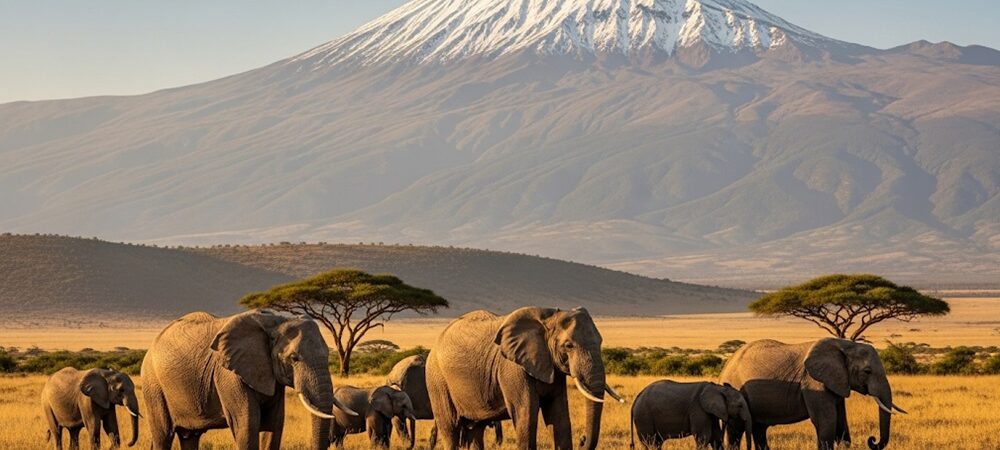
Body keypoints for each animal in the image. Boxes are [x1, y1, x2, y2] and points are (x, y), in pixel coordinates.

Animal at [140, 310, 358, 450]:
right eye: (294, 358)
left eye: (327, 355)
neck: (275, 321)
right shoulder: (229, 376)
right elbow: (247, 426)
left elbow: (273, 426)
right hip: (153, 384)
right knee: (163, 435)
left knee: (190, 437)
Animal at [426, 307, 624, 450]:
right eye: (569, 345)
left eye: (600, 342)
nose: (582, 439)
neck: (548, 319)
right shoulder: (513, 369)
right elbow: (526, 416)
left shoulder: (551, 367)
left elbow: (559, 416)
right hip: (436, 380)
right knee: (450, 429)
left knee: (476, 431)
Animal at [719, 338, 906, 450]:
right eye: (867, 371)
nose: (872, 440)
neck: (845, 344)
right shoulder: (813, 382)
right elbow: (826, 423)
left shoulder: (837, 382)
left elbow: (841, 424)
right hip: (736, 392)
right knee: (736, 429)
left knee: (759, 429)